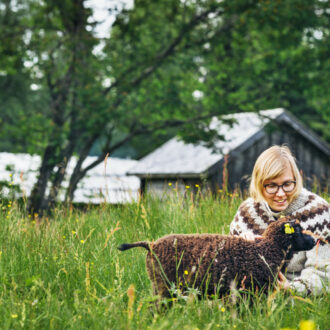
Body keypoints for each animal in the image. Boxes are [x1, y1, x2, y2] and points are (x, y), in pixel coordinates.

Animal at [118, 218, 314, 298]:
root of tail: (151, 245)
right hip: (163, 284)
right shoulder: (252, 290)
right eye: (297, 231)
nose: (313, 240)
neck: (268, 249)